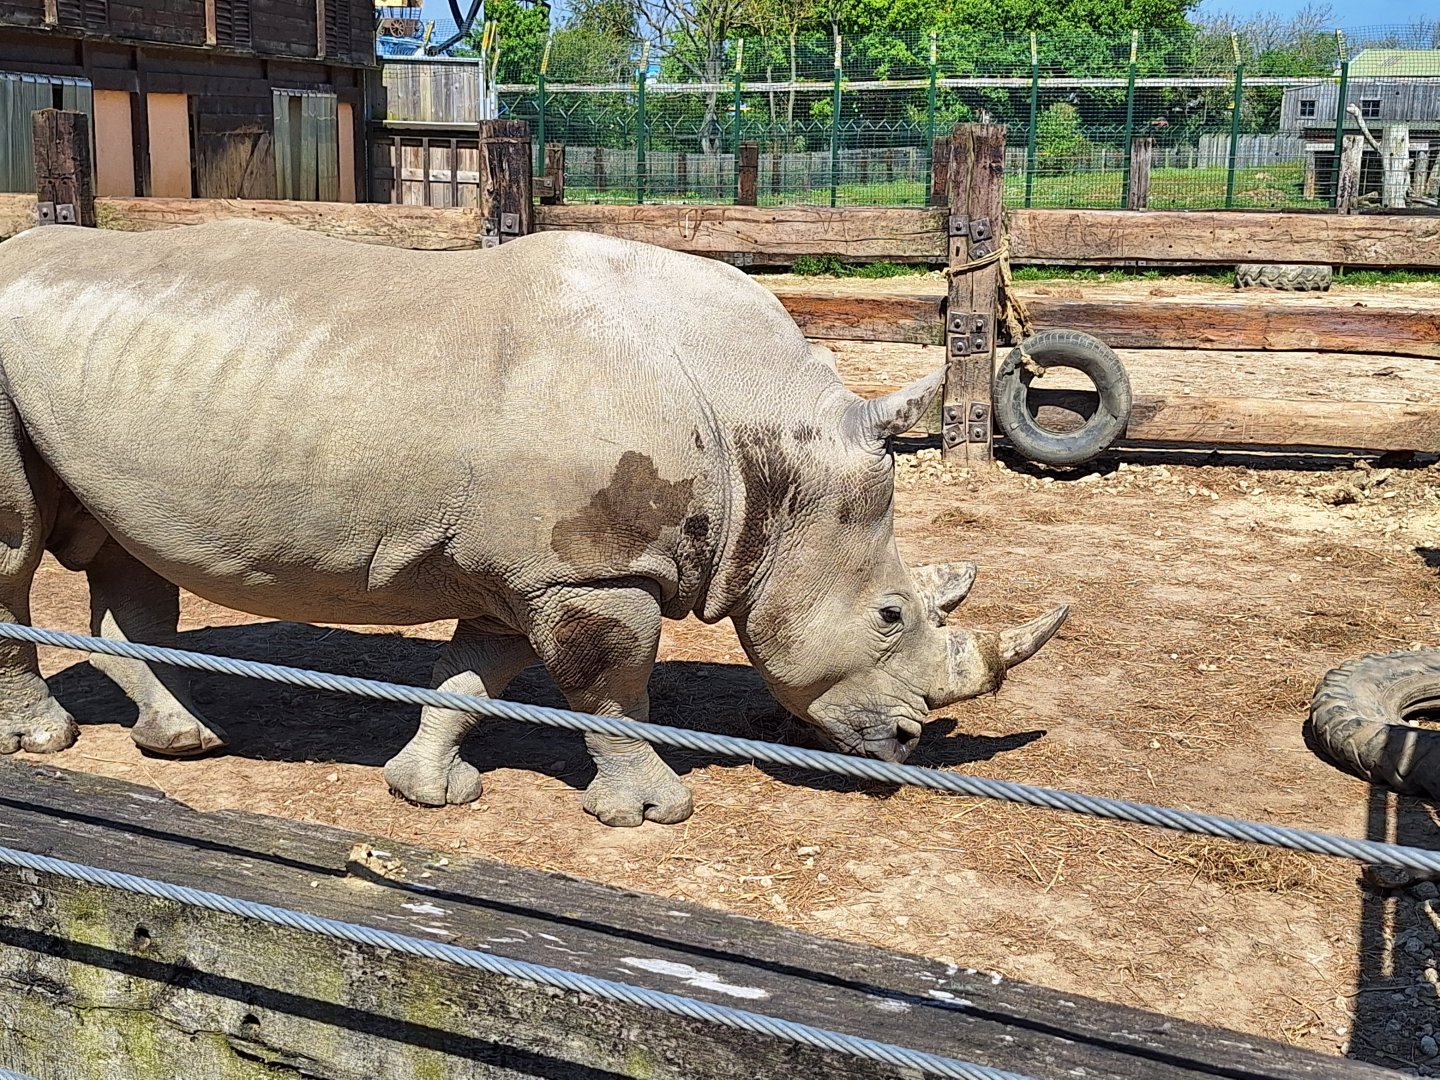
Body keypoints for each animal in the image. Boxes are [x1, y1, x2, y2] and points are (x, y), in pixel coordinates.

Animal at [0, 221, 1065, 826]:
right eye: (889, 616)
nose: (911, 743)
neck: (771, 442)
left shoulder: (530, 570)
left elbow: (477, 676)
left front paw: (429, 793)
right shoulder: (594, 571)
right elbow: (612, 693)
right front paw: (651, 813)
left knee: (126, 557)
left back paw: (186, 741)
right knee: (14, 551)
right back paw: (48, 743)